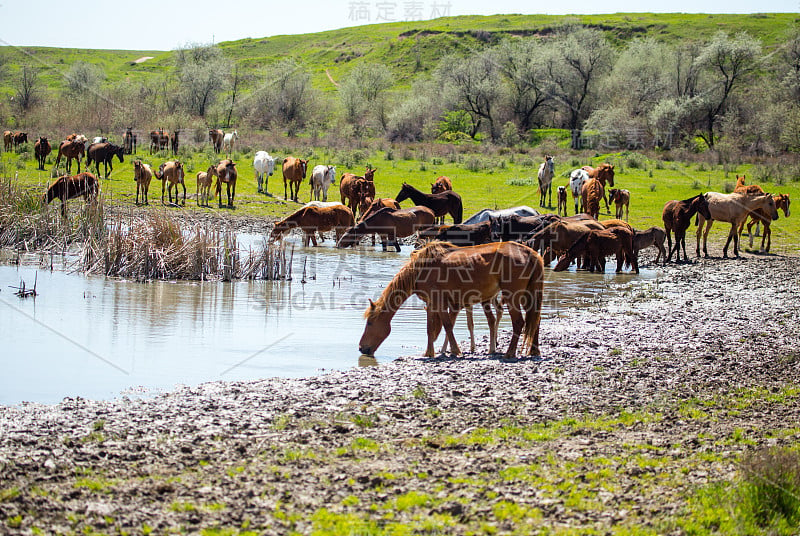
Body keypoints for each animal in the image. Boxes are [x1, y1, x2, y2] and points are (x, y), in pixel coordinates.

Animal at [360, 240, 544, 360]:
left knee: (519, 322)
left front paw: (455, 351)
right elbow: (430, 329)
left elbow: (447, 325)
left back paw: (510, 353)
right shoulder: (431, 303)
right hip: (529, 295)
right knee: (535, 320)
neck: (420, 270)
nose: (362, 348)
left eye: (370, 322)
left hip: (513, 296)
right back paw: (534, 351)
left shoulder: (439, 301)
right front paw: (429, 353)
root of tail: (531, 253)